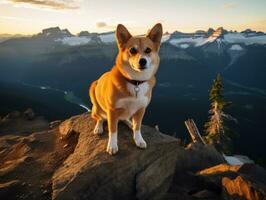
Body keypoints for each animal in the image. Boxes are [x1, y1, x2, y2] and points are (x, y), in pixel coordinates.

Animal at [90, 23, 162, 155]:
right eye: (132, 50)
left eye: (148, 50)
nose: (142, 61)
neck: (135, 82)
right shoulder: (112, 111)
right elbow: (113, 130)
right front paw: (112, 146)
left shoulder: (141, 109)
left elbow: (138, 127)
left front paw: (139, 140)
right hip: (95, 97)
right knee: (99, 118)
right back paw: (98, 127)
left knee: (124, 119)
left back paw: (129, 123)